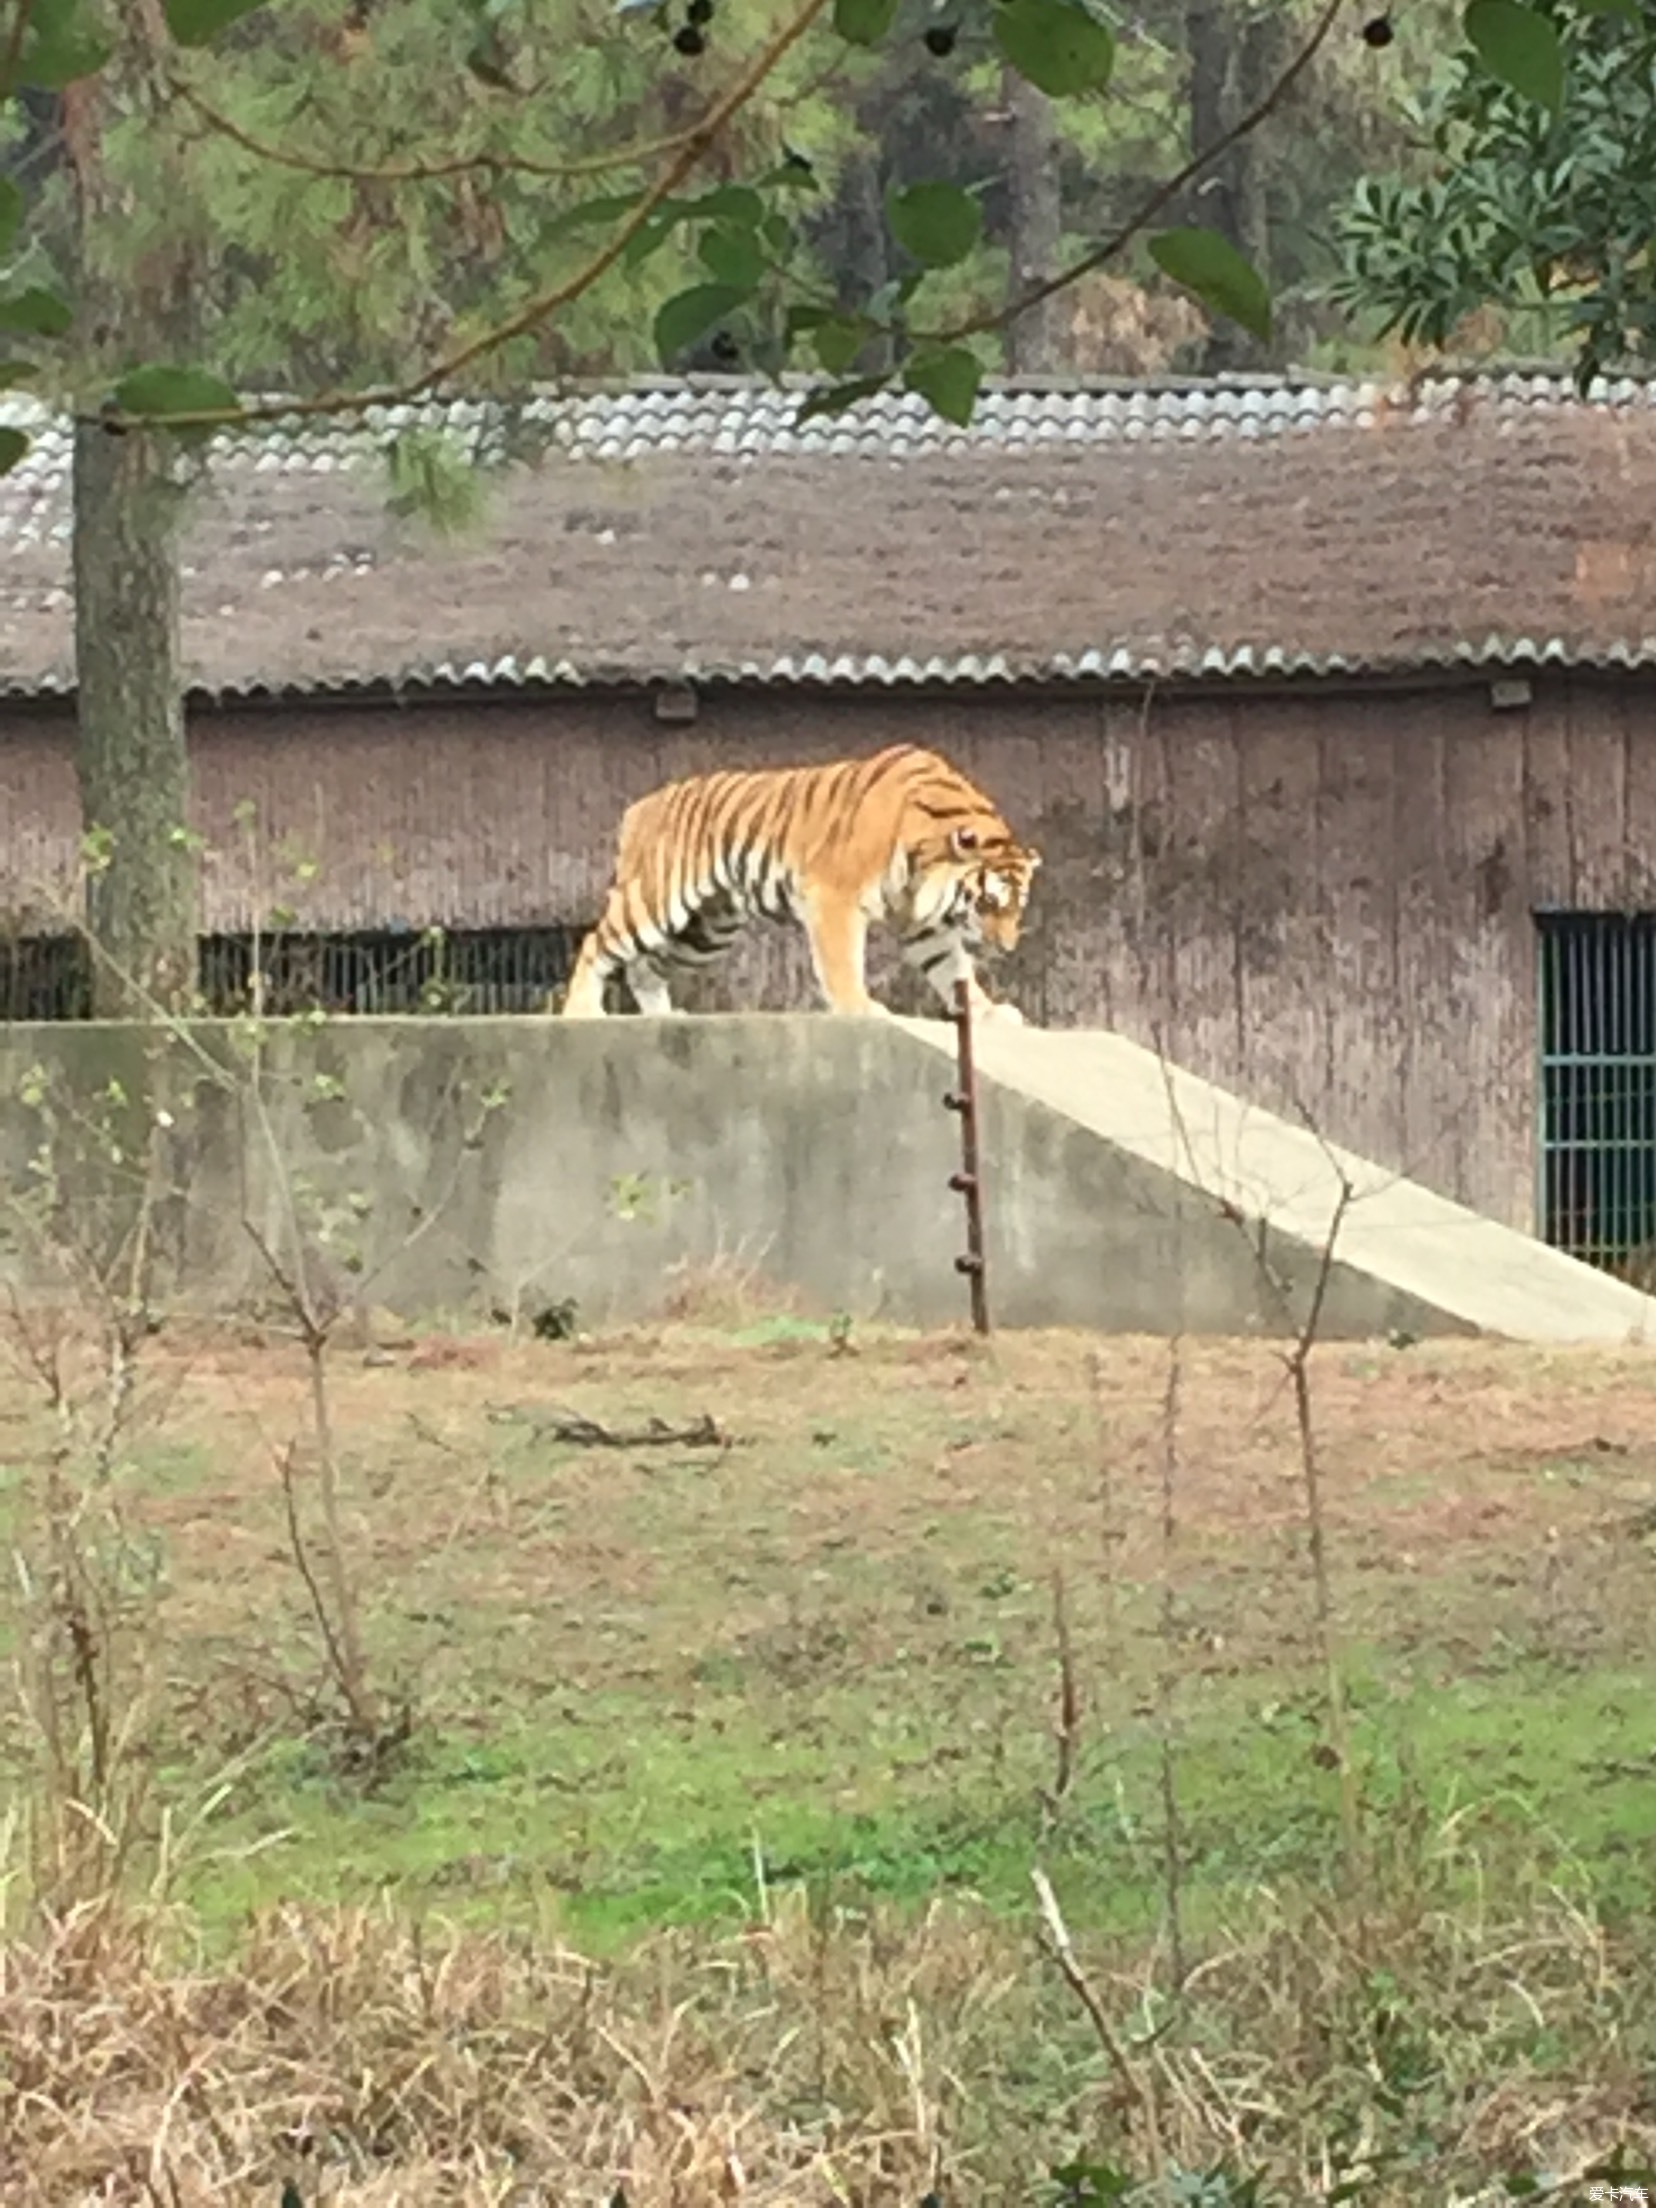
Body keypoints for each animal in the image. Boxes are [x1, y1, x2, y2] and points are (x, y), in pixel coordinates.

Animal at [565, 737, 1042, 1020]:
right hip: (656, 898)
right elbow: (842, 962)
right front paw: (860, 1007)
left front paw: (988, 1012)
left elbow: (955, 971)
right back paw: (580, 1012)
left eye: (1017, 908)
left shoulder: (925, 925)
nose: (1006, 947)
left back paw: (664, 1017)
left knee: (645, 966)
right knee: (595, 943)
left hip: (707, 931)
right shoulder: (835, 897)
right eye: (989, 903)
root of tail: (639, 806)